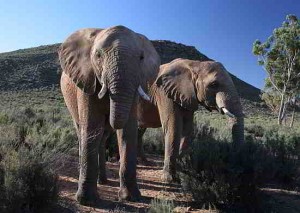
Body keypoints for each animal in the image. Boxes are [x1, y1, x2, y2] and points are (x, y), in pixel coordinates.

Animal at [59, 25, 161, 206]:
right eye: (98, 55)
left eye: (141, 57)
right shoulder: (87, 80)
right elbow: (91, 127)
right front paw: (86, 201)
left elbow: (127, 131)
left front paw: (131, 198)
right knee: (83, 132)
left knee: (102, 138)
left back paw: (104, 181)